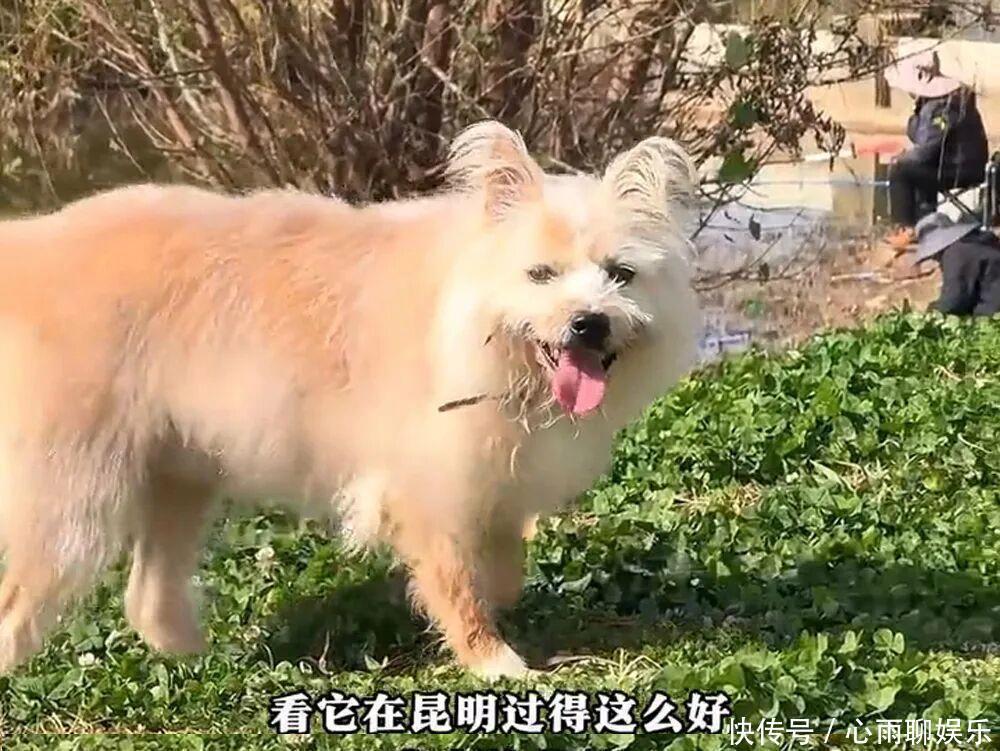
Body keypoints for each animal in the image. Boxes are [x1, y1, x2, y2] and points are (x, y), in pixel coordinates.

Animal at [0, 121, 700, 678]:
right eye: (540, 275)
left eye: (621, 275)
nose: (589, 323)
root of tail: (23, 250)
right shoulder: (428, 489)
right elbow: (456, 583)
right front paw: (493, 661)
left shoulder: (496, 479)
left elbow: (502, 563)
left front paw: (500, 604)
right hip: (70, 500)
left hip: (179, 474)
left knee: (148, 595)